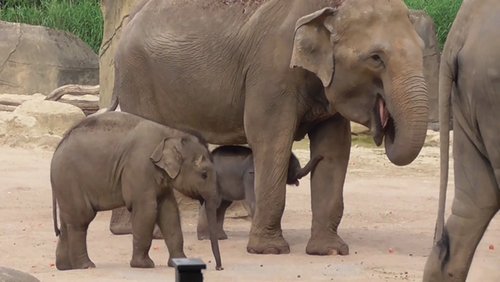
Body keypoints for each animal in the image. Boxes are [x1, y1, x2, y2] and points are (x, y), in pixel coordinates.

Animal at [51, 112, 222, 270]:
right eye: (204, 174)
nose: (219, 267)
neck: (172, 133)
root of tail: (57, 148)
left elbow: (169, 211)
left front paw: (180, 262)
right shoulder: (140, 167)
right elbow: (147, 210)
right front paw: (144, 265)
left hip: (64, 186)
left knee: (67, 221)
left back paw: (65, 267)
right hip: (70, 180)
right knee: (80, 220)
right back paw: (86, 266)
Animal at [109, 0, 430, 256]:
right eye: (376, 58)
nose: (384, 124)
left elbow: (335, 148)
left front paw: (329, 251)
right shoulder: (271, 72)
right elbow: (270, 138)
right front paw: (269, 250)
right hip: (137, 77)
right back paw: (139, 233)